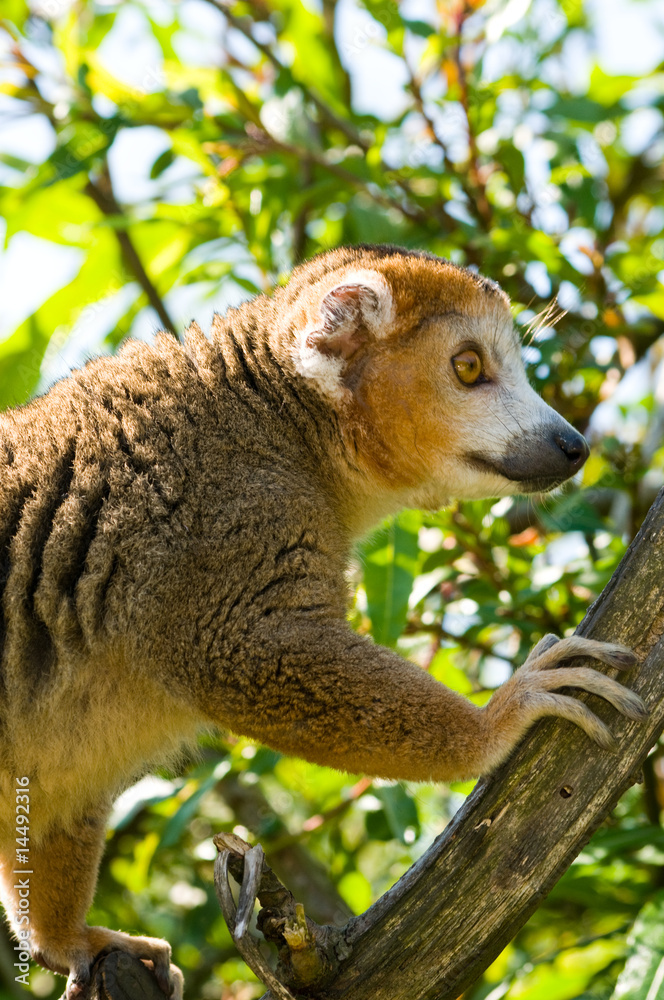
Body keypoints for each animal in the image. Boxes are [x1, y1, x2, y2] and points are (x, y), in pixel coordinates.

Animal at [0, 244, 647, 999]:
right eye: (468, 367)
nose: (572, 444)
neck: (279, 423)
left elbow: (58, 793)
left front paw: (64, 942)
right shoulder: (217, 520)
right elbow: (243, 656)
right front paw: (500, 720)